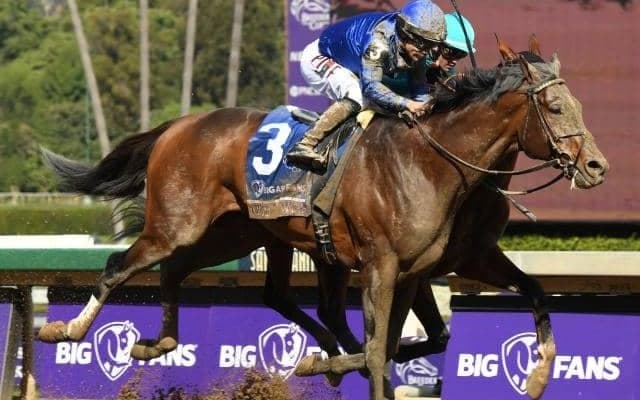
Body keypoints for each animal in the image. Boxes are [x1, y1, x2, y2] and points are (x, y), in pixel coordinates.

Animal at [38, 36, 608, 400]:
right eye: (555, 108)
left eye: (579, 102)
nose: (596, 166)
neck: (432, 163)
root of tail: (181, 124)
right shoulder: (381, 267)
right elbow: (379, 351)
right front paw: (331, 363)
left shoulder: (438, 265)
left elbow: (525, 295)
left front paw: (539, 377)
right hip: (177, 225)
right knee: (119, 265)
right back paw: (65, 329)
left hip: (231, 233)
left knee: (200, 276)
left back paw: (162, 343)